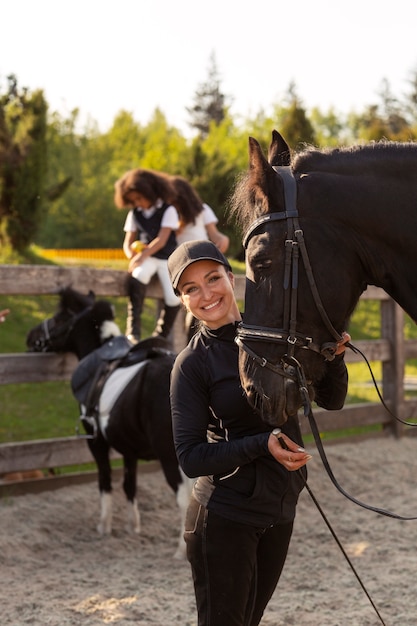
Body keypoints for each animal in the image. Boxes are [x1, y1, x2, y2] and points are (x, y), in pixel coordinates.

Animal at [26, 286, 193, 556]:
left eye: (59, 317)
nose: (31, 337)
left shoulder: (96, 442)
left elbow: (105, 480)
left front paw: (104, 527)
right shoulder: (130, 448)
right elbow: (129, 485)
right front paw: (133, 527)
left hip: (170, 457)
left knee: (184, 499)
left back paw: (181, 550)